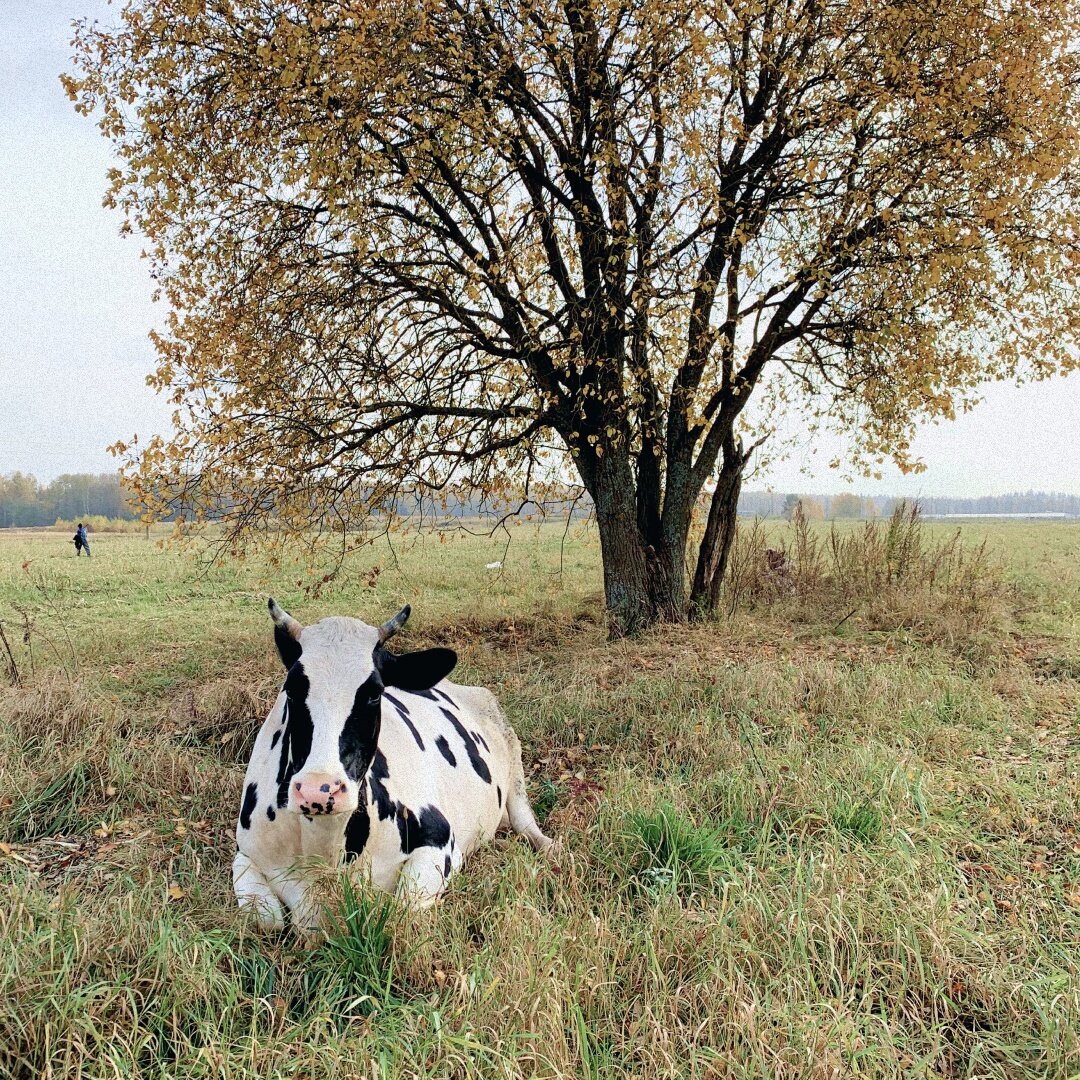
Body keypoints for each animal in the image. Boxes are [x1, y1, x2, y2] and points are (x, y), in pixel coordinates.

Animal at [236, 596, 557, 933]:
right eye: (292, 688)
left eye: (375, 694)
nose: (318, 791)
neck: (324, 848)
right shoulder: (246, 853)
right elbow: (266, 920)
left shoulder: (439, 840)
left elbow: (404, 910)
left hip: (512, 753)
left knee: (524, 820)